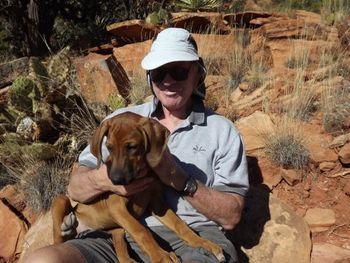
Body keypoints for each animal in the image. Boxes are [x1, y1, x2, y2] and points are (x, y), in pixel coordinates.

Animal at [52, 112, 224, 263]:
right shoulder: (117, 207)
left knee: (120, 250)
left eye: (132, 147)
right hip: (61, 200)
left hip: (118, 229)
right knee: (57, 238)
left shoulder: (157, 204)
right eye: (109, 147)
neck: (138, 176)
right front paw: (161, 256)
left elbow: (179, 224)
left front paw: (202, 243)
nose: (115, 180)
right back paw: (66, 225)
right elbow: (141, 231)